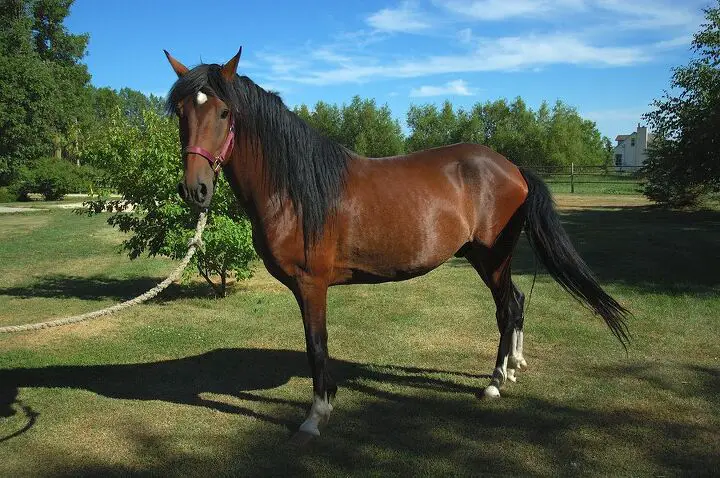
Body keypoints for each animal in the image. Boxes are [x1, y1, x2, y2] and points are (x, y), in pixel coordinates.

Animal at [166, 47, 628, 436]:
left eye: (224, 112)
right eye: (182, 113)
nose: (195, 189)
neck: (294, 189)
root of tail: (513, 168)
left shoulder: (311, 285)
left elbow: (317, 346)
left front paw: (317, 415)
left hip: (493, 257)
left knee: (507, 308)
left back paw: (495, 382)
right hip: (486, 258)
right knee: (516, 302)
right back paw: (514, 365)